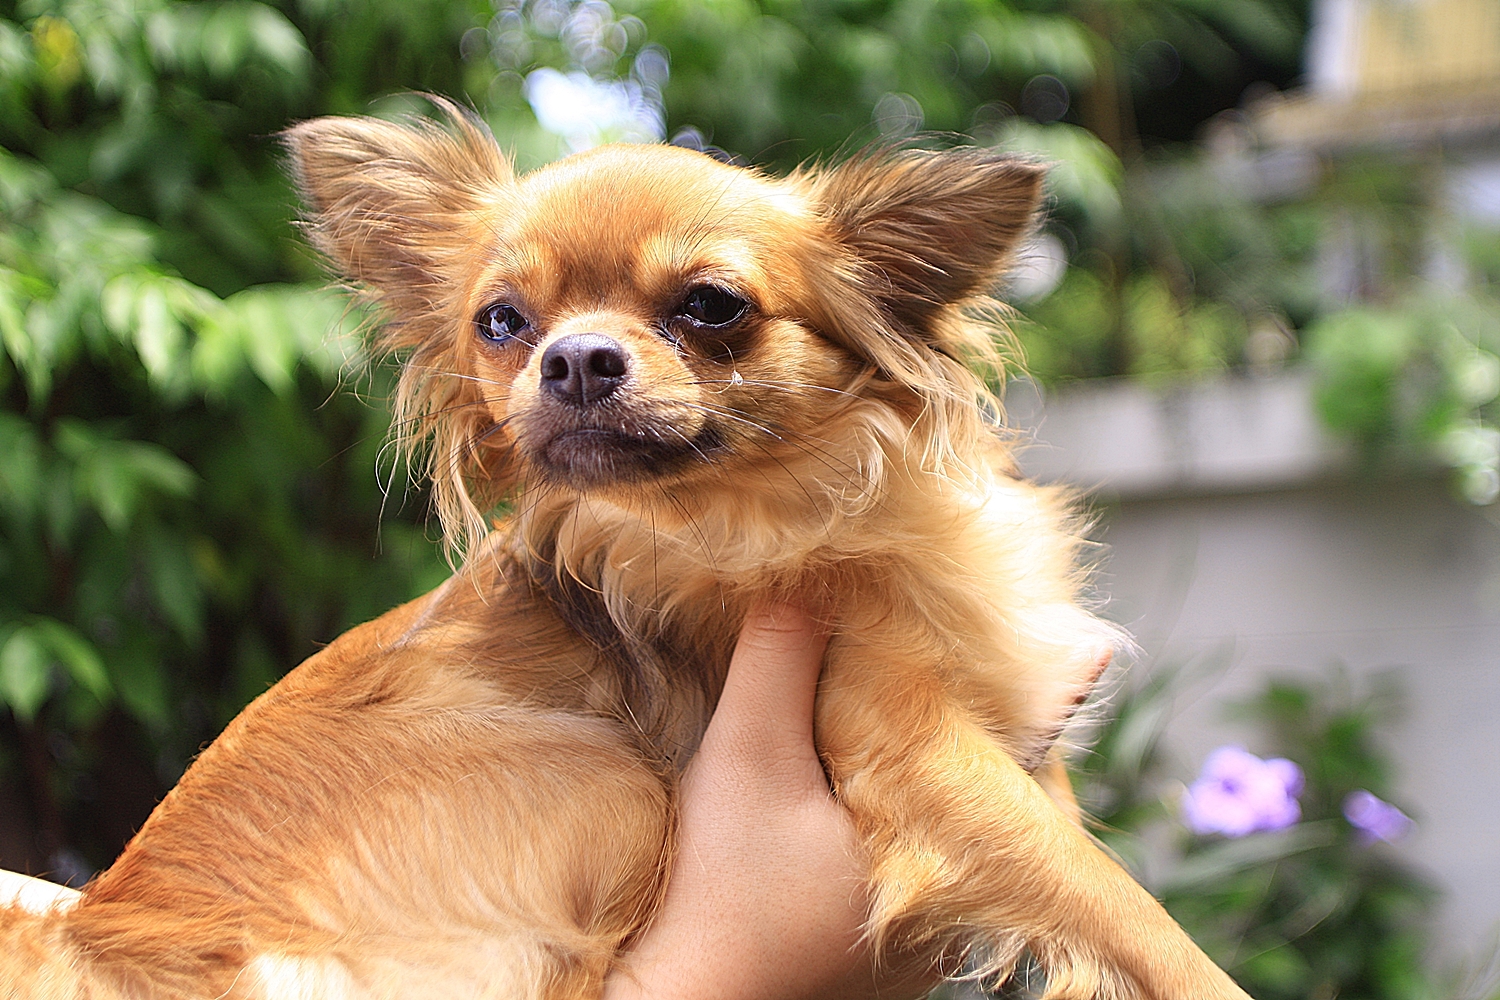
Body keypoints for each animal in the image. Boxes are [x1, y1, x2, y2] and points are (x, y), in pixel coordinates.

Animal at [0, 102, 1251, 999]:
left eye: (712, 305)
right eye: (501, 322)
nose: (574, 357)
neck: (771, 510)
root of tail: (105, 936)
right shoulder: (910, 743)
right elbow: (1119, 906)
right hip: (607, 779)